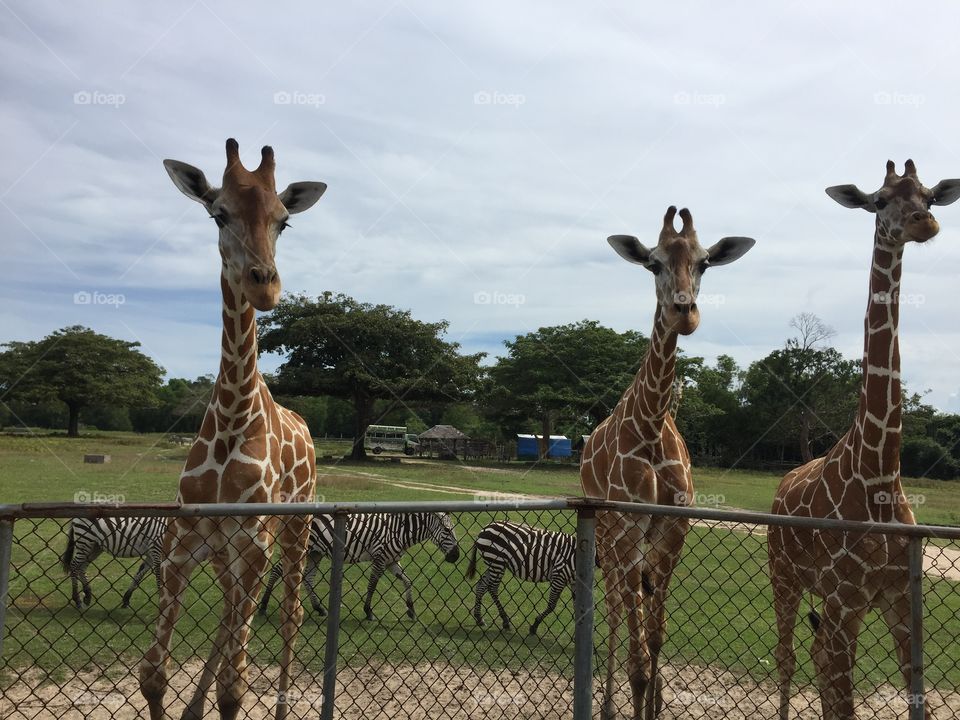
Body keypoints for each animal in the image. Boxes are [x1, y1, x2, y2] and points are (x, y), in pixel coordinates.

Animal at [138, 138, 327, 720]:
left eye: (284, 221)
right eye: (217, 214)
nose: (264, 286)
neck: (230, 419)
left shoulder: (253, 543)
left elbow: (234, 687)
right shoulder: (183, 545)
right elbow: (153, 674)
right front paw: (185, 702)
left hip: (293, 530)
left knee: (290, 613)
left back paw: (284, 704)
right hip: (228, 553)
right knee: (228, 612)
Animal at [580, 206, 754, 719]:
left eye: (705, 263)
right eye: (653, 263)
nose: (685, 314)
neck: (653, 426)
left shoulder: (672, 532)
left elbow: (656, 640)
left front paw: (657, 706)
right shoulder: (630, 528)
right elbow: (638, 657)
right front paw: (634, 701)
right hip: (608, 536)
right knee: (614, 607)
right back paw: (607, 706)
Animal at [768, 159, 960, 720]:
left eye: (929, 196)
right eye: (878, 200)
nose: (923, 223)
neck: (879, 473)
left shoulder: (900, 601)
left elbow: (915, 695)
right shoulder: (845, 601)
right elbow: (842, 697)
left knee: (813, 659)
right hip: (783, 576)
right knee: (789, 657)